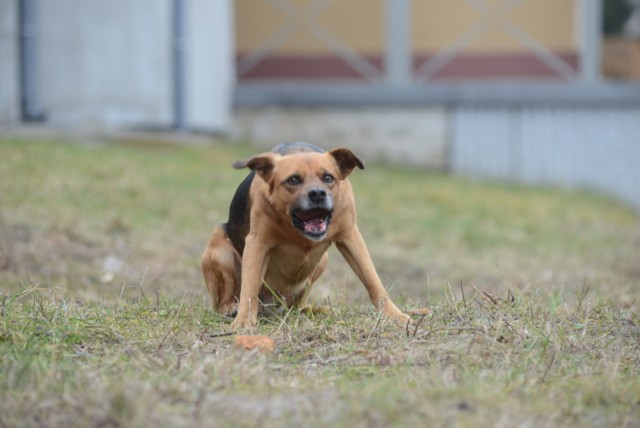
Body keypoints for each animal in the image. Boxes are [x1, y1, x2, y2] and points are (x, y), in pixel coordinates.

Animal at [201, 142, 410, 330]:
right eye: (293, 180)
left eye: (328, 177)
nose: (317, 194)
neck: (297, 230)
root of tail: (271, 306)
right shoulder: (256, 243)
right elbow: (249, 287)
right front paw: (244, 321)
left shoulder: (350, 236)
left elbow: (372, 280)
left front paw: (394, 314)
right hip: (220, 250)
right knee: (226, 299)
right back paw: (230, 307)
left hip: (322, 262)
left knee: (296, 306)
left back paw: (312, 310)